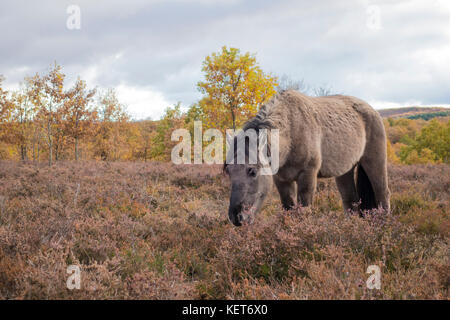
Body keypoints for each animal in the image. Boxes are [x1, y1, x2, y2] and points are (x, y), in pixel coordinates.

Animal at [225, 89, 390, 228]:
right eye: (229, 172)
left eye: (252, 171)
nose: (237, 217)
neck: (292, 130)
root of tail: (373, 111)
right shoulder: (282, 180)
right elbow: (289, 209)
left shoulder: (308, 176)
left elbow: (303, 211)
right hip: (345, 171)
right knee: (351, 200)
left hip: (374, 162)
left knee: (382, 193)